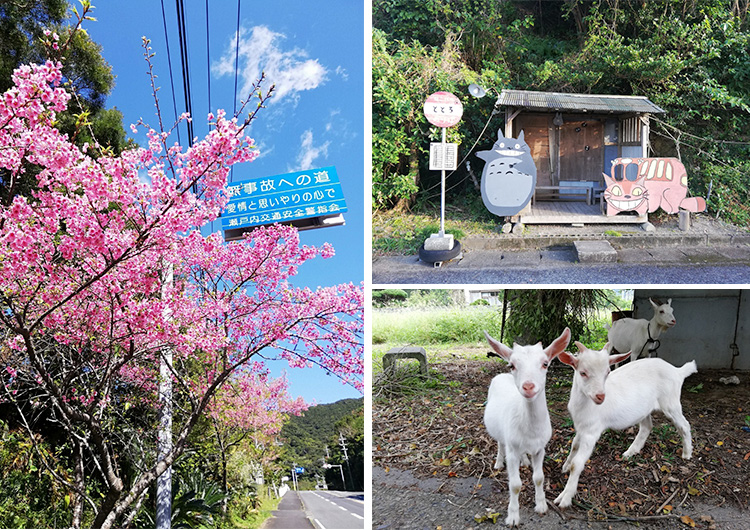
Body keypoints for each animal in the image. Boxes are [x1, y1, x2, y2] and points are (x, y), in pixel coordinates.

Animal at [484, 326, 572, 524]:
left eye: (545, 364)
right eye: (512, 365)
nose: (528, 386)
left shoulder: (540, 448)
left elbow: (539, 477)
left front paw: (541, 506)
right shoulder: (512, 449)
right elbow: (515, 485)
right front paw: (513, 517)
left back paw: (525, 461)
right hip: (500, 432)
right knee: (500, 443)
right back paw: (498, 463)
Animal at [552, 340, 700, 506]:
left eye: (607, 372)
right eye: (583, 373)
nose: (600, 396)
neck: (584, 405)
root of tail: (677, 371)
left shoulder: (592, 431)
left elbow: (577, 464)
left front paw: (565, 497)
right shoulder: (581, 427)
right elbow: (574, 446)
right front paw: (565, 466)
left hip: (671, 402)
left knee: (684, 425)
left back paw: (687, 453)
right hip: (644, 409)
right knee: (647, 427)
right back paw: (631, 452)